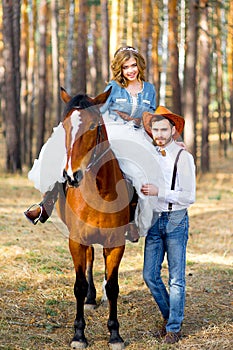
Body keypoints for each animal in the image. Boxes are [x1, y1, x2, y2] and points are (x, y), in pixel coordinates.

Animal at [56, 86, 133, 348]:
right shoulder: (76, 241)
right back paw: (90, 299)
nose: (71, 175)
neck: (100, 191)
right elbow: (79, 285)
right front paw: (79, 334)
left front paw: (115, 334)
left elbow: (113, 286)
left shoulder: (115, 243)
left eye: (92, 126)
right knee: (89, 258)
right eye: (65, 126)